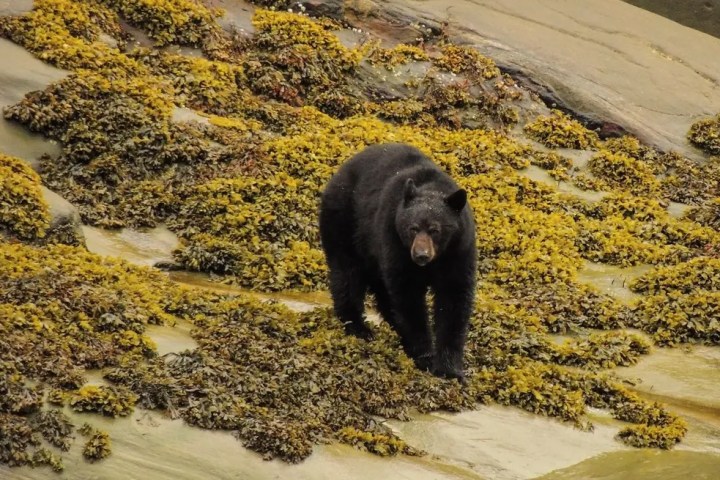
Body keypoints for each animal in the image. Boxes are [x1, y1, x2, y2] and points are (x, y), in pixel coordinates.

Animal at [319, 142, 477, 381]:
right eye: (412, 228)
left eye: (435, 230)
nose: (421, 255)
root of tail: (339, 172)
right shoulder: (393, 238)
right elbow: (407, 294)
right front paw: (425, 356)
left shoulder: (458, 250)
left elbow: (454, 299)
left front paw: (450, 369)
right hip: (345, 220)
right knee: (347, 272)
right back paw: (358, 326)